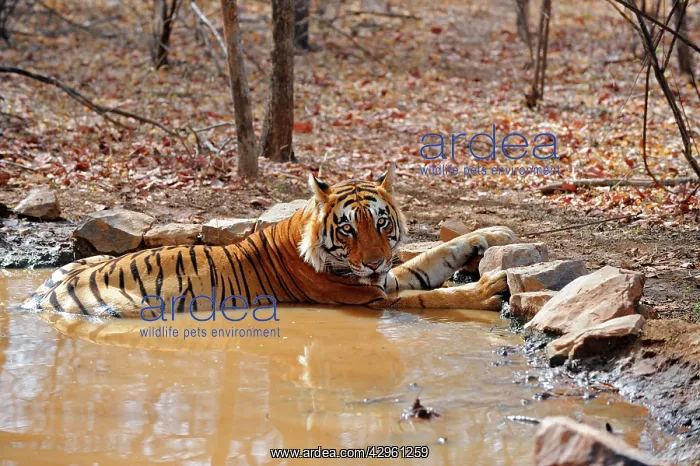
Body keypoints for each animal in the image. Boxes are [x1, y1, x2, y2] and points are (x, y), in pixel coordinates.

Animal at [24, 164, 517, 318]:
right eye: (347, 228)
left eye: (381, 223)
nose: (375, 263)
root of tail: (38, 296)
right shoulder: (372, 298)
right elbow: (435, 296)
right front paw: (489, 289)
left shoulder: (386, 280)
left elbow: (435, 255)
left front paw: (493, 235)